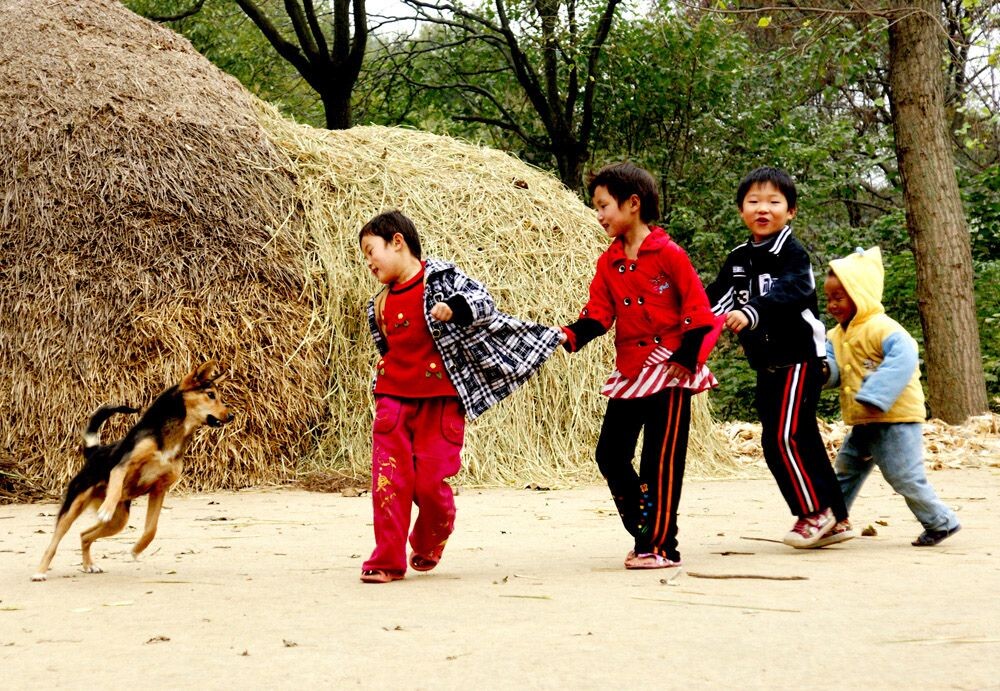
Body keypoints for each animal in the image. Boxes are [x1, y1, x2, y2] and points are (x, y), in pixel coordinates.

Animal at [30, 362, 234, 584]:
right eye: (210, 394)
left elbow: (151, 530)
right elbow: (117, 484)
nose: (231, 416)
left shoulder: (159, 489)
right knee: (54, 543)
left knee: (84, 535)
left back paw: (89, 565)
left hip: (118, 521)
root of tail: (95, 451)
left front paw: (137, 549)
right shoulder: (123, 466)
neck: (171, 438)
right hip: (74, 506)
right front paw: (107, 507)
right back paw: (40, 571)